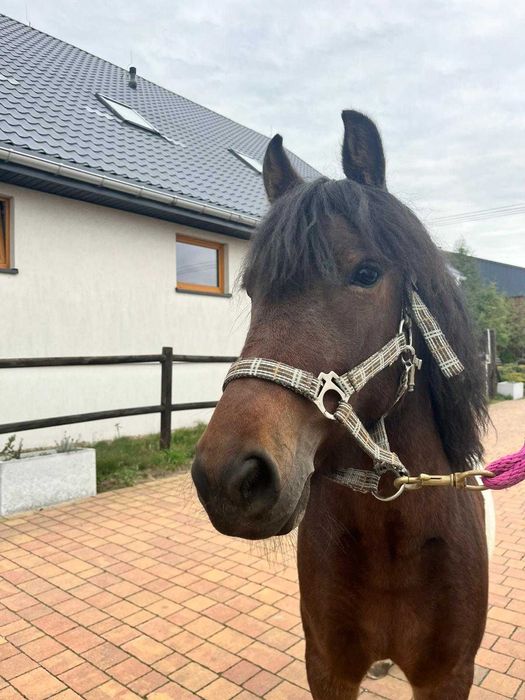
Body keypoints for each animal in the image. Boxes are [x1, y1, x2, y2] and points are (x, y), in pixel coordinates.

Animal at [191, 110, 490, 699]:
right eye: (253, 289)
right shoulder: (327, 666)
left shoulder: (449, 676)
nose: (228, 478)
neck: (393, 539)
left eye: (367, 273)